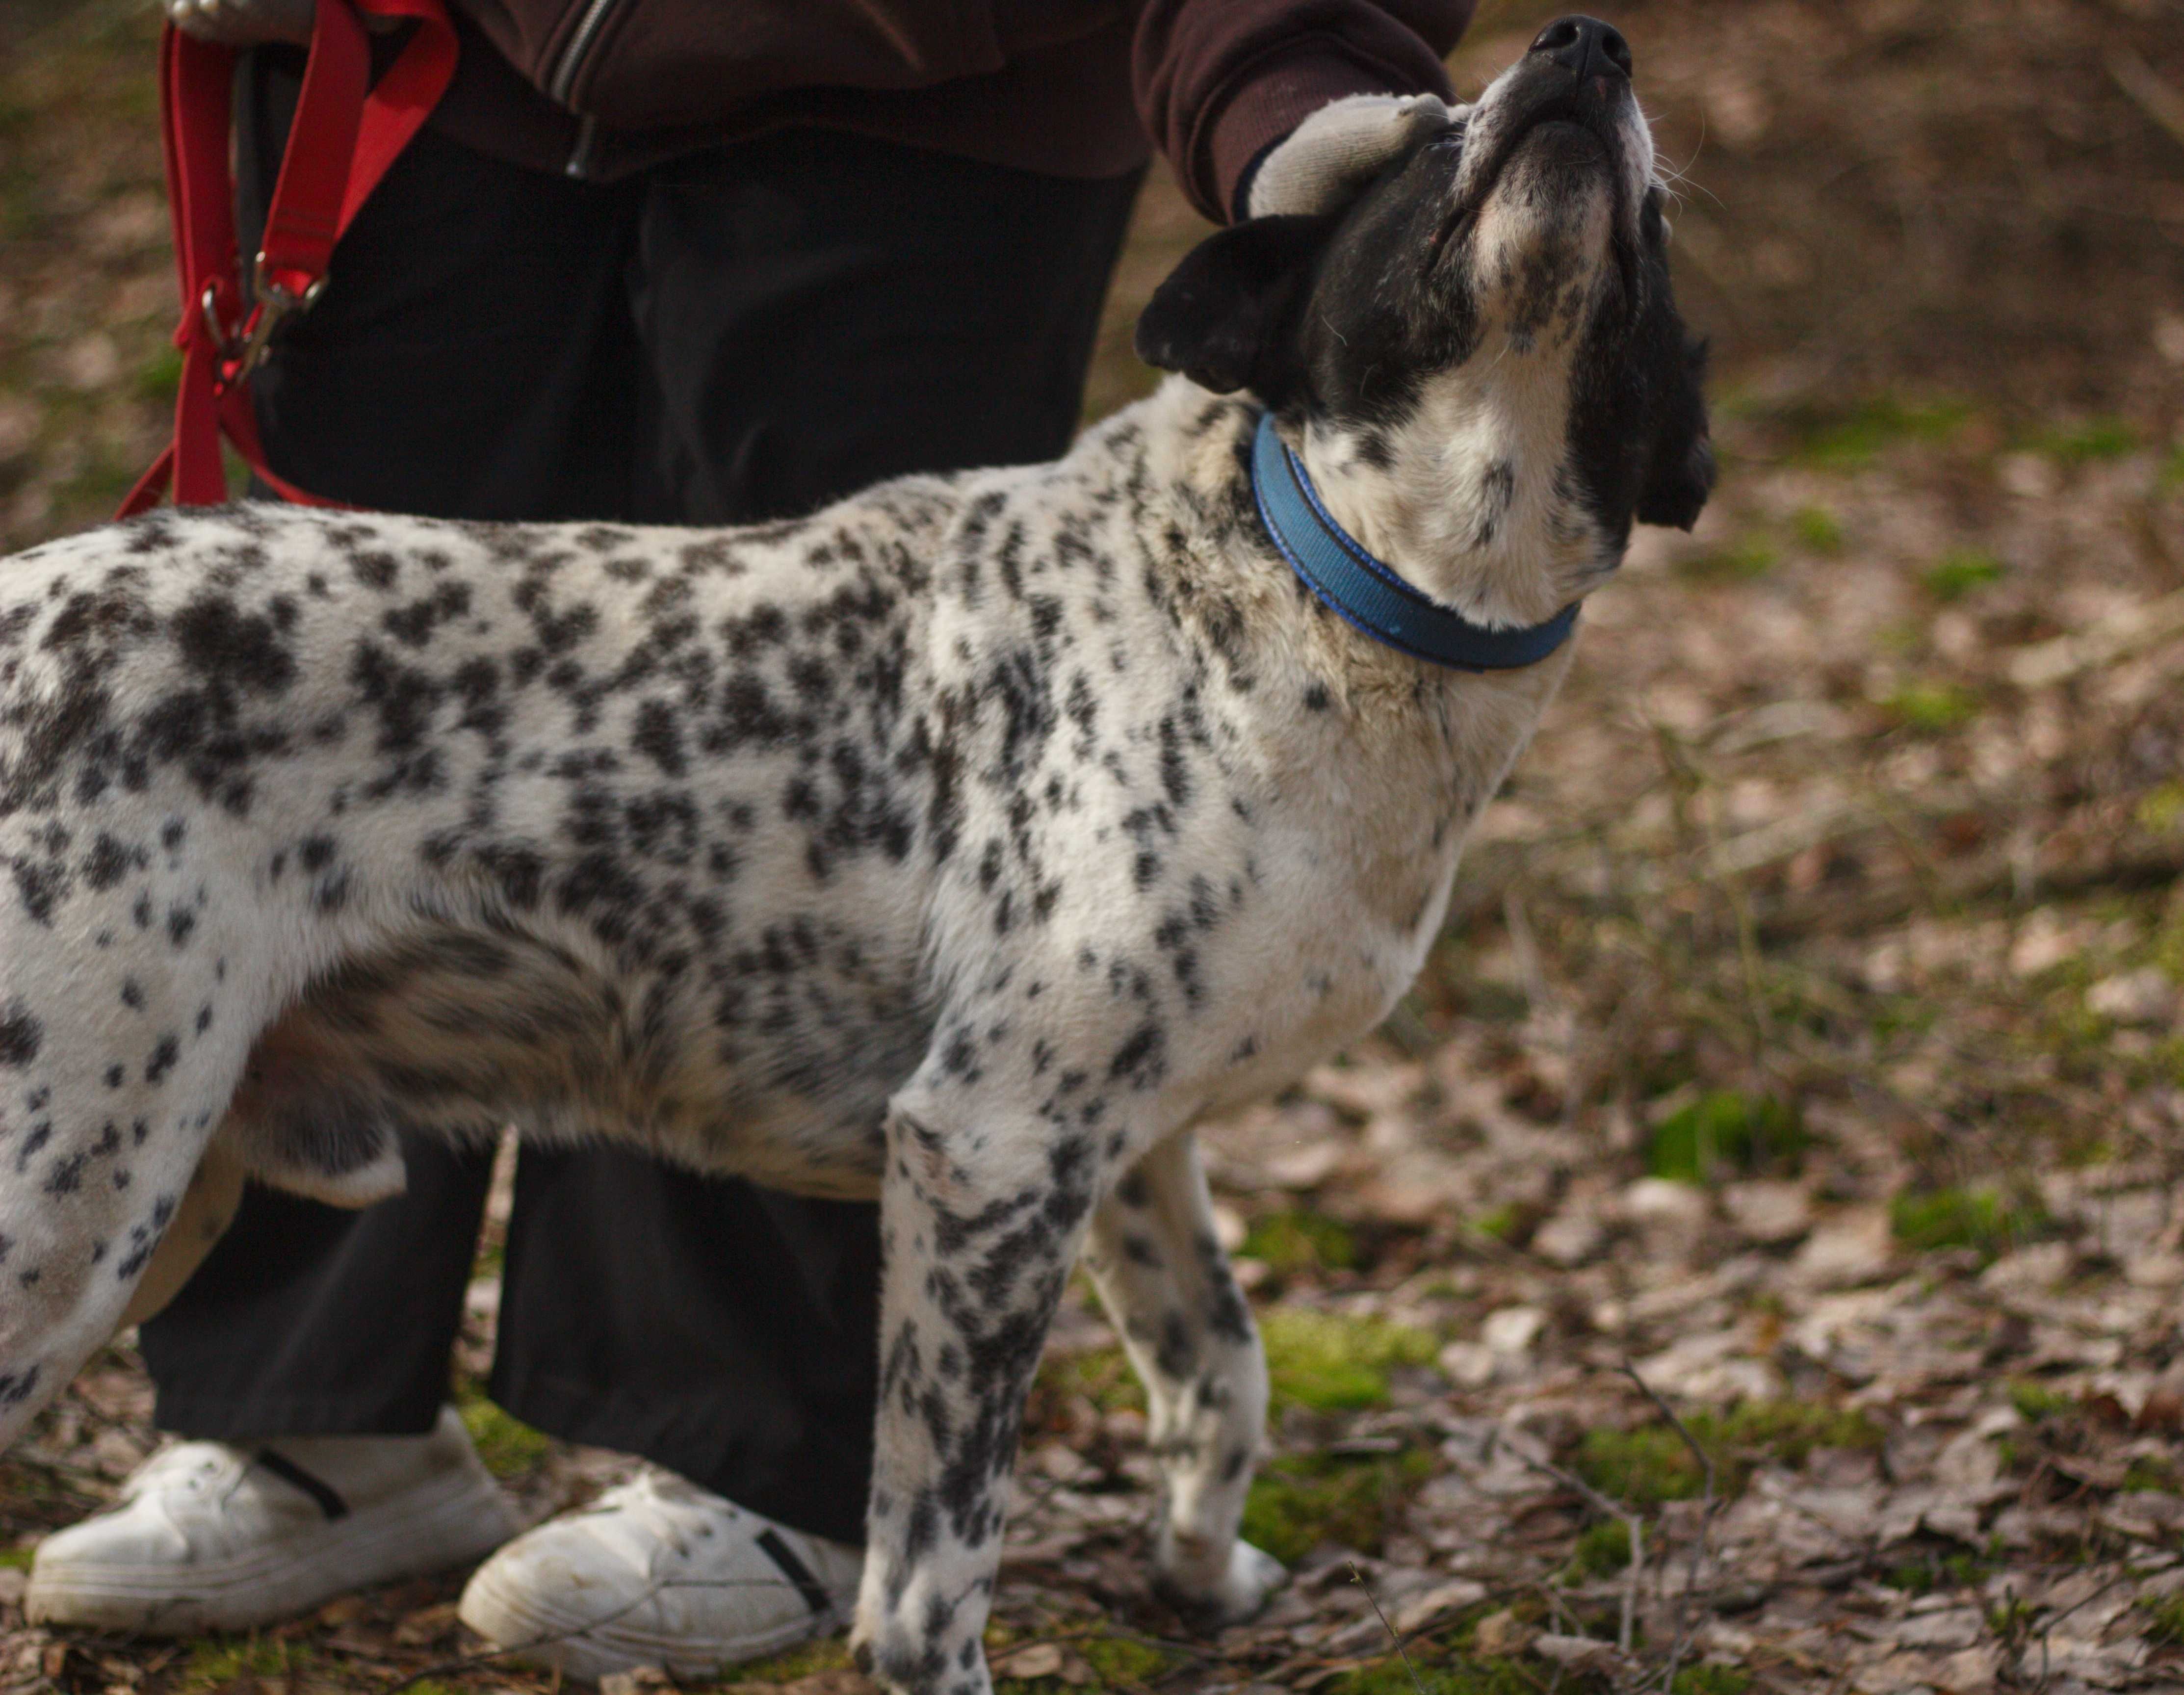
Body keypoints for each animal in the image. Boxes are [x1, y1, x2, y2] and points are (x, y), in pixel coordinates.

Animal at [0, 16, 1703, 1695]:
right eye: (1429, 143)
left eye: (1655, 216)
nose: (1586, 43)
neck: (1324, 581)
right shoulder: (989, 1144)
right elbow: (932, 1566)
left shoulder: (1127, 1139)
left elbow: (1221, 1371)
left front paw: (1201, 1570)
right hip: (77, 1196)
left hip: (172, 1180)